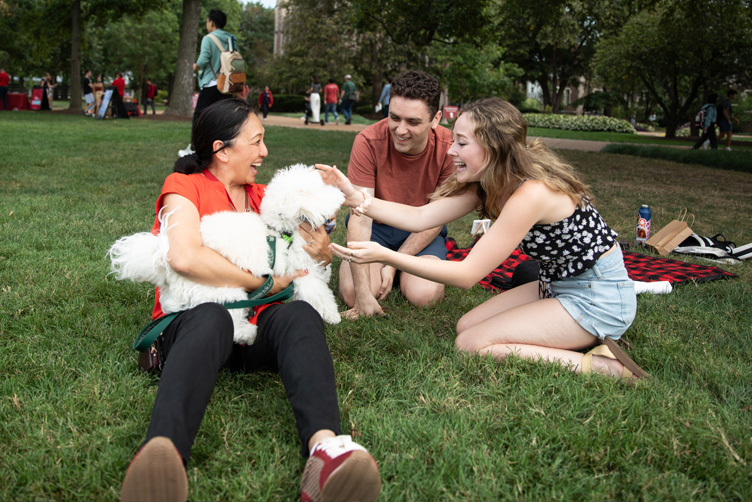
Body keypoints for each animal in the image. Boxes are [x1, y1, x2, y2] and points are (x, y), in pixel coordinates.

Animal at [108, 165, 344, 346]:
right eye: (320, 187)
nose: (338, 191)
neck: (281, 230)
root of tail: (162, 259)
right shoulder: (302, 272)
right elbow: (320, 295)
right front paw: (333, 316)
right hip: (226, 291)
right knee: (232, 322)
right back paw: (248, 333)